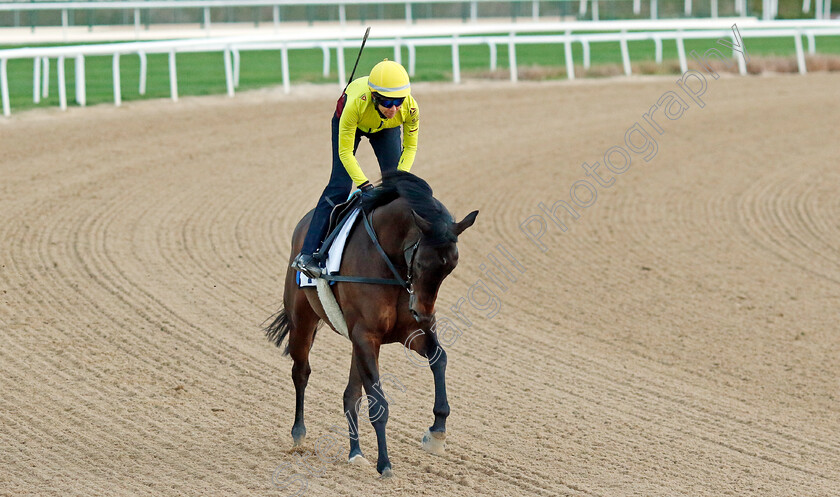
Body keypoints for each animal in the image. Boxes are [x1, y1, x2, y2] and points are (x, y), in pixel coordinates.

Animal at [266, 170, 482, 476]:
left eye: (450, 268)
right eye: (420, 264)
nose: (424, 313)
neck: (390, 262)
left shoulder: (408, 332)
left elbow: (439, 358)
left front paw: (436, 433)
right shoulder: (366, 335)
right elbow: (378, 402)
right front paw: (385, 463)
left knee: (350, 394)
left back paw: (355, 452)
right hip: (303, 321)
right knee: (301, 372)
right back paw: (299, 434)